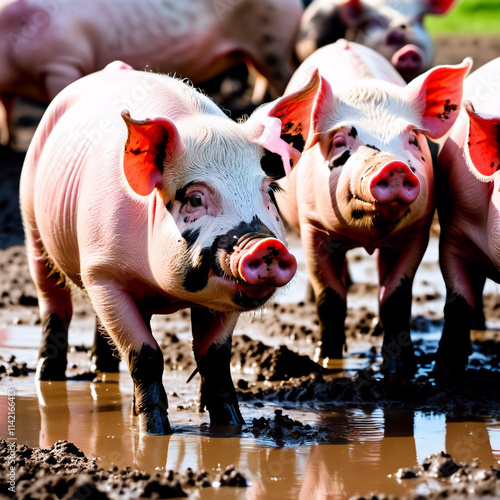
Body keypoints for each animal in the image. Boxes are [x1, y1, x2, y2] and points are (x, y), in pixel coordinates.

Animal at [20, 59, 320, 434]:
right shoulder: (102, 272)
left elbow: (215, 359)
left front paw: (231, 427)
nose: (265, 245)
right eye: (194, 198)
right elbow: (145, 355)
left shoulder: (222, 300)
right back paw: (48, 378)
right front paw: (154, 432)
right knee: (53, 303)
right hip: (32, 225)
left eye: (270, 191)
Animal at [276, 39, 470, 374]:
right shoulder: (313, 226)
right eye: (340, 143)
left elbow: (396, 297)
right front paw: (327, 363)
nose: (393, 166)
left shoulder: (415, 233)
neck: (366, 237)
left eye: (413, 139)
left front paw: (401, 367)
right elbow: (330, 298)